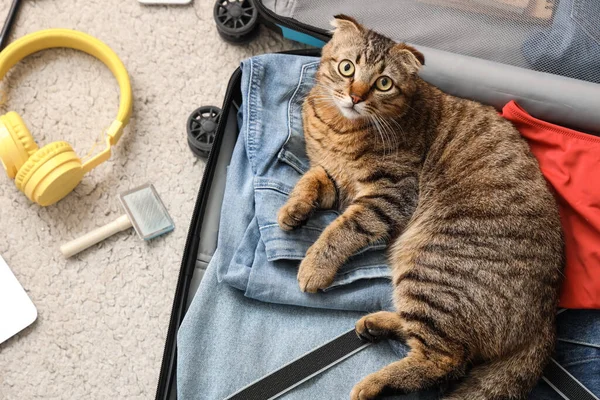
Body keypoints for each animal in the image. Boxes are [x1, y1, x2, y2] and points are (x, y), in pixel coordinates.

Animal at [276, 14, 564, 400]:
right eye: (347, 67)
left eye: (383, 83)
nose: (355, 97)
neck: (341, 127)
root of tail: (545, 321)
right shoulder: (335, 178)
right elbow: (311, 179)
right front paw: (293, 209)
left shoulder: (389, 195)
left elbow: (342, 229)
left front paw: (314, 266)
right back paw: (377, 324)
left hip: (432, 270)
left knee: (445, 359)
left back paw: (372, 384)